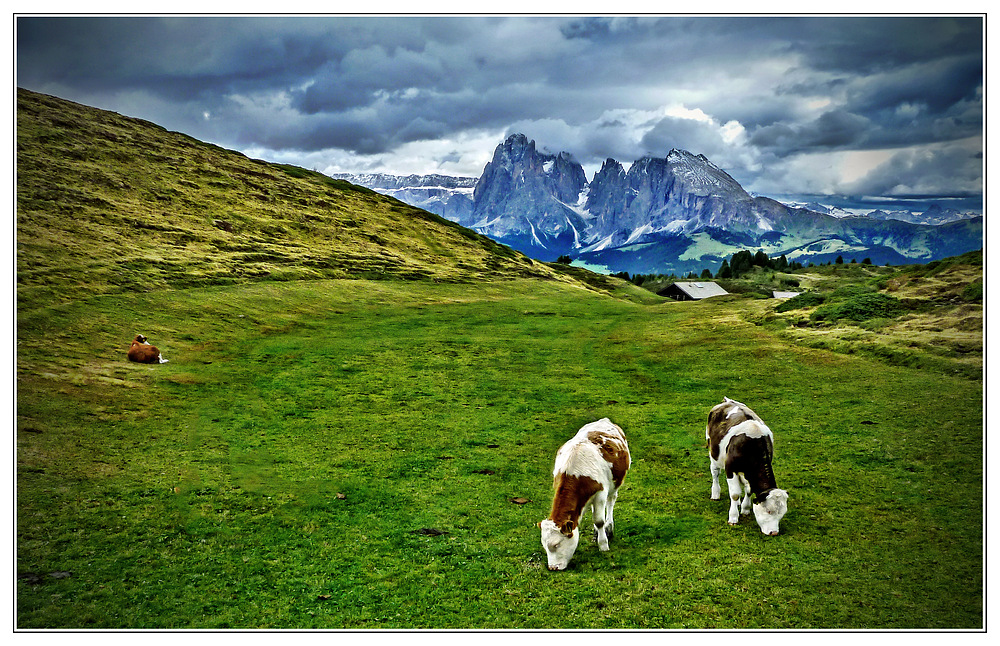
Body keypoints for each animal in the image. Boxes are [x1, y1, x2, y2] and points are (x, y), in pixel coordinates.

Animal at [540, 420, 632, 572]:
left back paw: (609, 528)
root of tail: (604, 420)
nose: (553, 567)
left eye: (556, 544)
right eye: (545, 546)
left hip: (615, 484)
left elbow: (599, 521)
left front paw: (603, 545)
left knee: (611, 501)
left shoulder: (600, 493)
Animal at [704, 400, 788, 536]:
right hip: (713, 452)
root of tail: (727, 401)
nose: (774, 532)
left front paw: (745, 509)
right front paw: (733, 517)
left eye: (782, 513)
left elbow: (748, 490)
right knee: (715, 473)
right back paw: (715, 493)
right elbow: (734, 494)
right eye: (769, 511)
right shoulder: (730, 469)